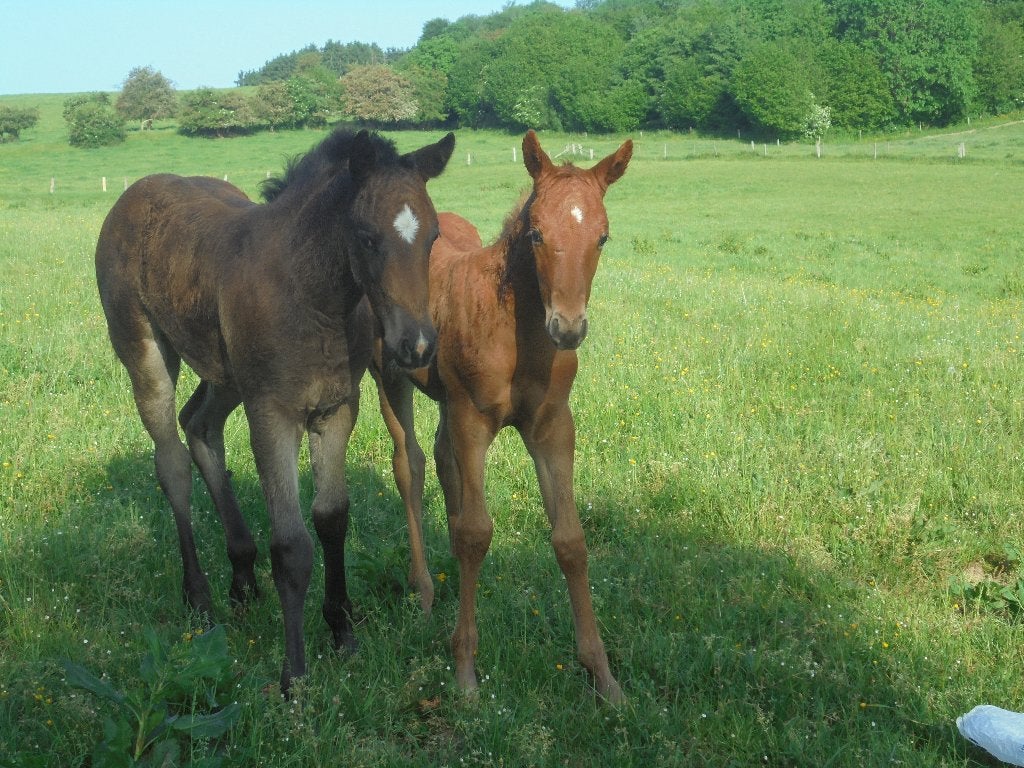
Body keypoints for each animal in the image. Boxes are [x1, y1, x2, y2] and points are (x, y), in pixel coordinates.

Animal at [95, 128, 455, 693]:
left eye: (434, 236)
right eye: (366, 236)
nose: (416, 345)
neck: (311, 295)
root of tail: (133, 193)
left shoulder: (335, 409)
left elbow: (332, 519)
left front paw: (342, 631)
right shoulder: (271, 414)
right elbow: (291, 546)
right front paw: (295, 676)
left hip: (224, 373)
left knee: (200, 425)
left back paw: (242, 577)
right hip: (144, 349)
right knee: (171, 460)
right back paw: (199, 597)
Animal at [369, 130, 632, 702]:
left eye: (602, 237)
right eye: (536, 233)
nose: (568, 328)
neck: (516, 331)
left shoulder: (553, 426)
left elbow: (570, 541)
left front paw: (603, 677)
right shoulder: (472, 418)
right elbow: (476, 533)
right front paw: (465, 671)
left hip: (443, 396)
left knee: (441, 459)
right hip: (389, 377)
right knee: (409, 464)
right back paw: (424, 589)